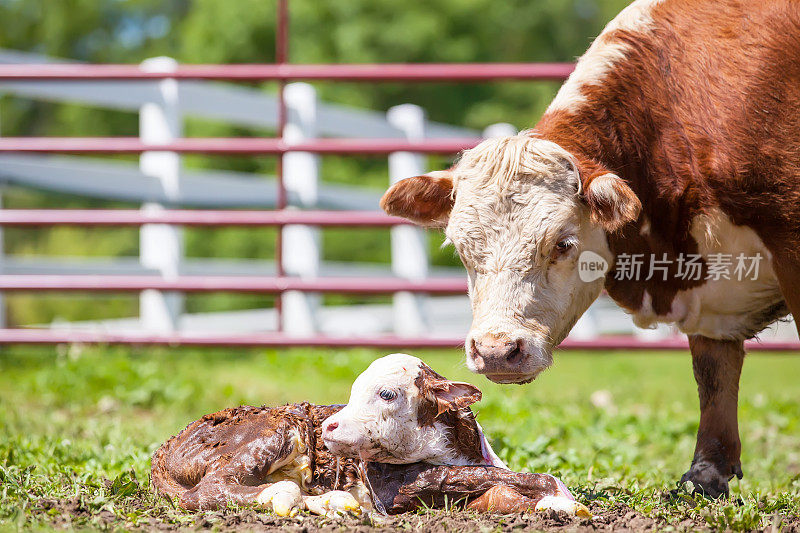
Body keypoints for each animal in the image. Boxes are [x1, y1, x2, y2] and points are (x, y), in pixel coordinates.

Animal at [152, 354, 588, 516]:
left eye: (387, 393)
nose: (329, 425)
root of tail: (164, 449)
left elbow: (494, 483)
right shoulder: (389, 485)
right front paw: (565, 499)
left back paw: (331, 502)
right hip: (273, 429)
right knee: (211, 489)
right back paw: (293, 497)